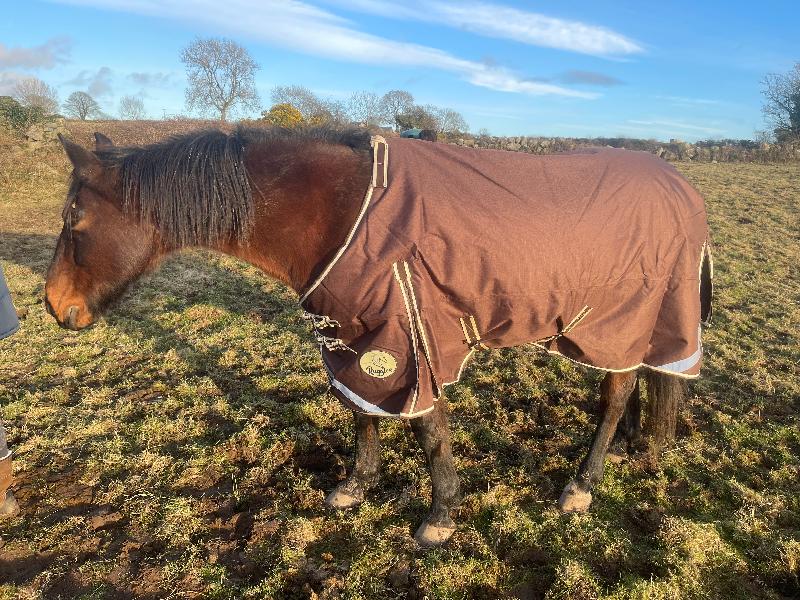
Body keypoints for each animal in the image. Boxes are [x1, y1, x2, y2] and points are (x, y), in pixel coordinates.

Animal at [45, 127, 712, 548]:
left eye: (75, 216)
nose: (54, 306)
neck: (341, 211)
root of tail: (684, 188)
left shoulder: (409, 337)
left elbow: (427, 429)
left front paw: (439, 517)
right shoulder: (354, 337)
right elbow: (360, 412)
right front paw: (353, 488)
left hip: (620, 321)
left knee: (616, 393)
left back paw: (581, 484)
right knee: (639, 384)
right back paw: (625, 449)